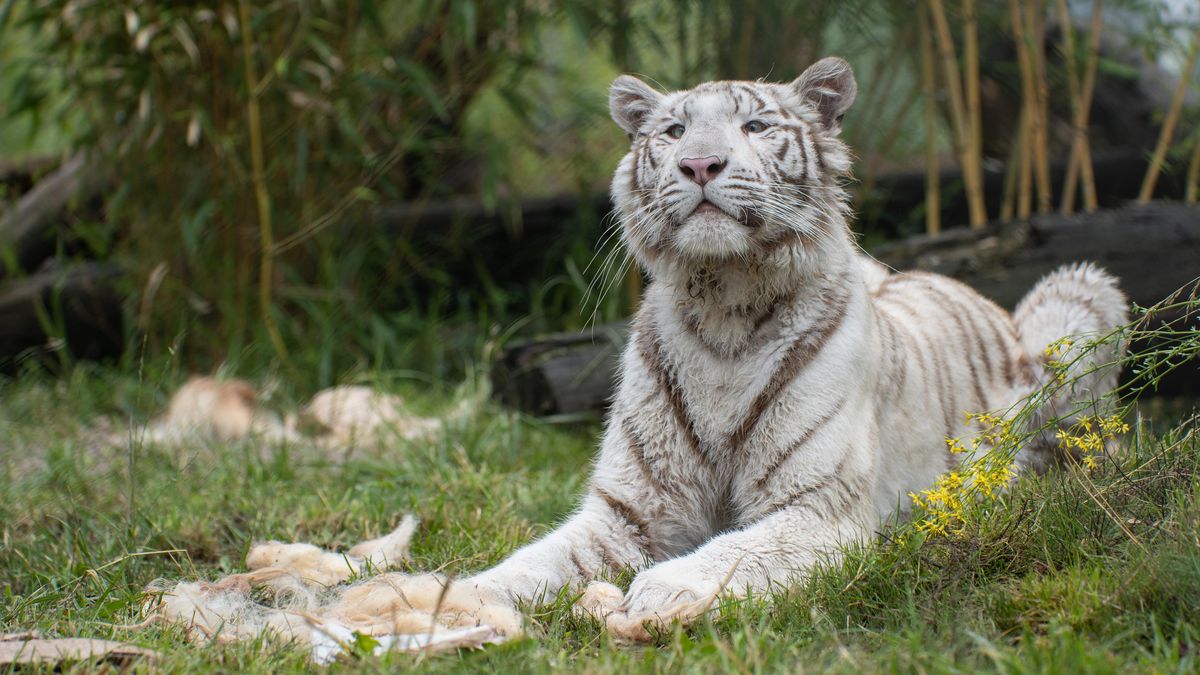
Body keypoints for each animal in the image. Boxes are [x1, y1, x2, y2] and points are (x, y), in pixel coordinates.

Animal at [326, 56, 1123, 634]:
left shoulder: (820, 509)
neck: (726, 312)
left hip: (1078, 294)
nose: (701, 166)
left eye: (757, 124)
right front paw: (436, 599)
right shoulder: (629, 509)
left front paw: (660, 592)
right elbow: (532, 561)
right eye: (675, 131)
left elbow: (736, 549)